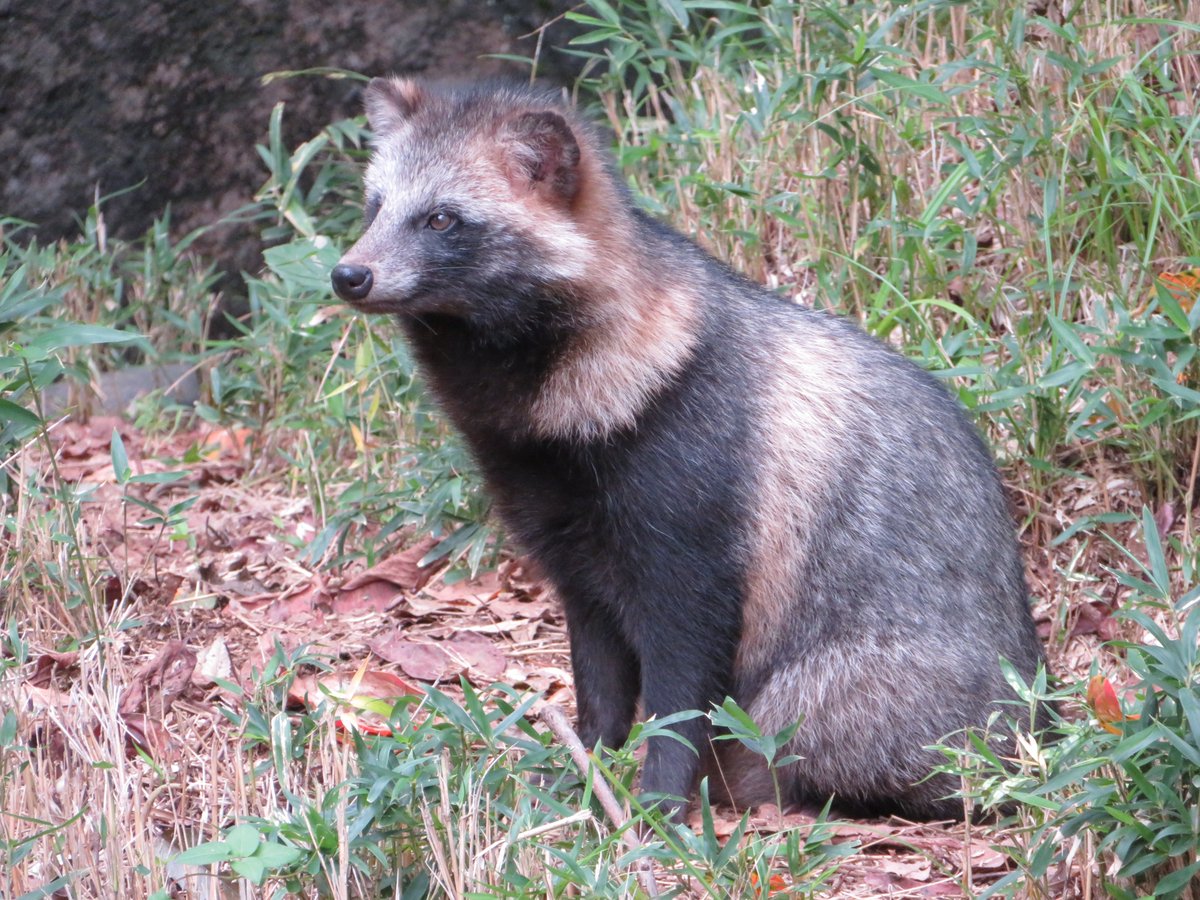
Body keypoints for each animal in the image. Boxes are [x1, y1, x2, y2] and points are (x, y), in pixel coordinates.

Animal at [331, 79, 1051, 825]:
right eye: (376, 205)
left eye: (442, 219)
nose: (348, 274)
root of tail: (1036, 720)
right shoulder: (575, 561)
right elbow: (601, 685)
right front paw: (590, 770)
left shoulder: (692, 549)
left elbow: (681, 699)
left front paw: (656, 804)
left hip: (828, 697)